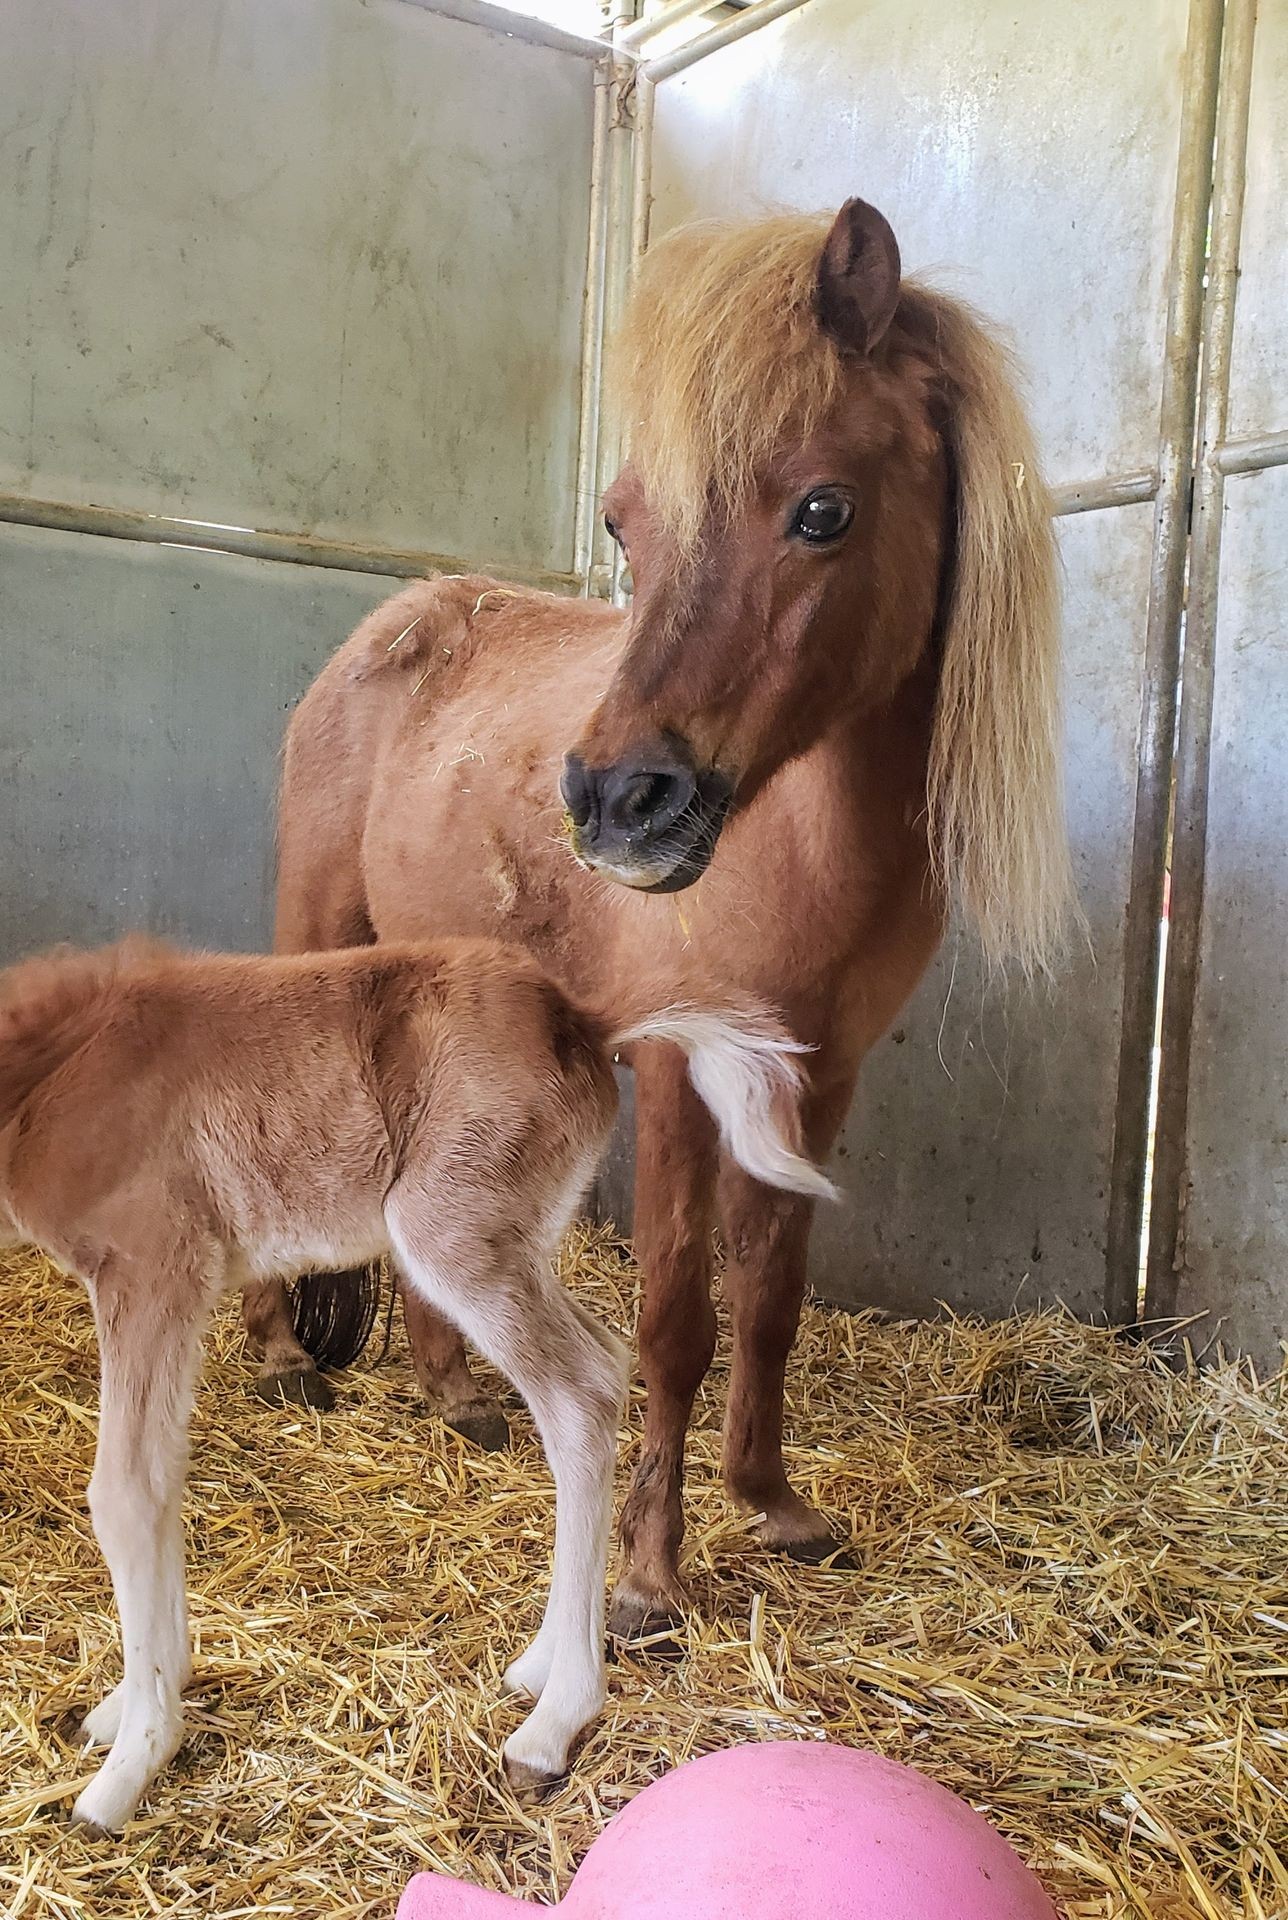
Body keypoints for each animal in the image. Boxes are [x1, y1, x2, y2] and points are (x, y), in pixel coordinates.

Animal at [238, 194, 1067, 1635]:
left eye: (824, 509)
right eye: (626, 525)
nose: (617, 801)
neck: (801, 840)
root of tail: (399, 622)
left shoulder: (816, 1078)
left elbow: (772, 1296)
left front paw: (775, 1508)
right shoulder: (685, 1072)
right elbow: (680, 1315)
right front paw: (645, 1578)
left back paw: (456, 1395)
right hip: (320, 932)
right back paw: (291, 1359)